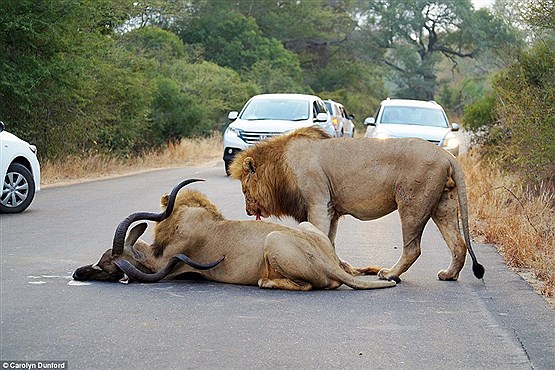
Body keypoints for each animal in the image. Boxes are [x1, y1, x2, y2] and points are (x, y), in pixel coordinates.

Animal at [74, 179, 396, 292]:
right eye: (103, 256)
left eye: (109, 269)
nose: (78, 273)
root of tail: (327, 262)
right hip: (305, 227)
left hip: (273, 239)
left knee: (305, 286)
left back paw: (266, 282)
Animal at [228, 125, 484, 282]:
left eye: (244, 190)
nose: (248, 211)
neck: (280, 167)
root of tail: (446, 155)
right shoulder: (331, 209)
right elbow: (329, 241)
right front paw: (341, 267)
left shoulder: (318, 203)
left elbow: (318, 235)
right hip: (443, 205)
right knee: (458, 244)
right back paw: (449, 275)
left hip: (412, 203)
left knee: (413, 248)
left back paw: (390, 274)